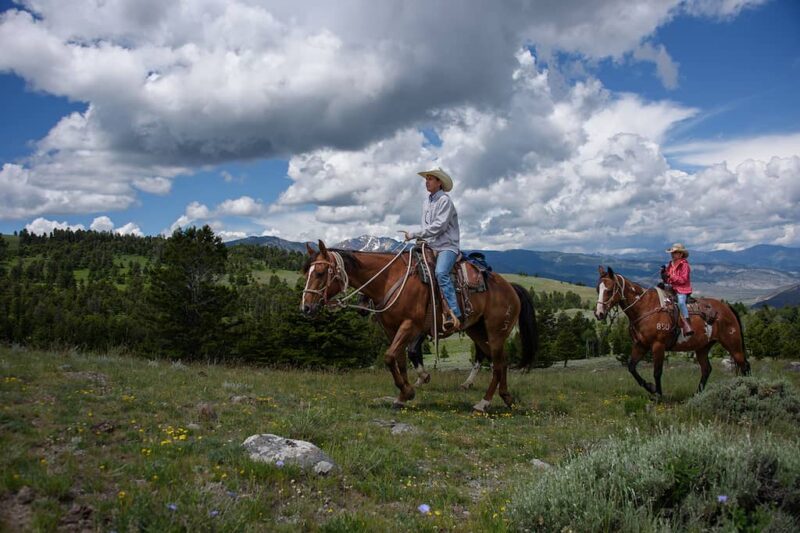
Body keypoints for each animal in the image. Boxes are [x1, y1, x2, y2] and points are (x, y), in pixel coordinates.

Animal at [300, 241, 536, 412]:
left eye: (320, 273)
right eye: (307, 273)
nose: (306, 307)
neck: (389, 279)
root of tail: (509, 287)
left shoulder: (411, 326)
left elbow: (390, 356)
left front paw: (409, 390)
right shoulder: (392, 329)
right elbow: (399, 359)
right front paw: (403, 396)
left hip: (496, 331)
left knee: (498, 362)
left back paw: (484, 402)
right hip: (476, 330)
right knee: (497, 360)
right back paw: (505, 397)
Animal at [592, 266, 752, 394]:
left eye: (609, 290)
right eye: (598, 289)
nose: (599, 313)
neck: (645, 307)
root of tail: (727, 308)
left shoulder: (658, 345)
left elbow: (657, 372)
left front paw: (658, 394)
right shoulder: (640, 345)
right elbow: (631, 367)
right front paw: (650, 388)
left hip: (732, 343)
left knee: (744, 365)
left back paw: (750, 389)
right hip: (702, 347)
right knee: (706, 369)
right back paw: (697, 395)